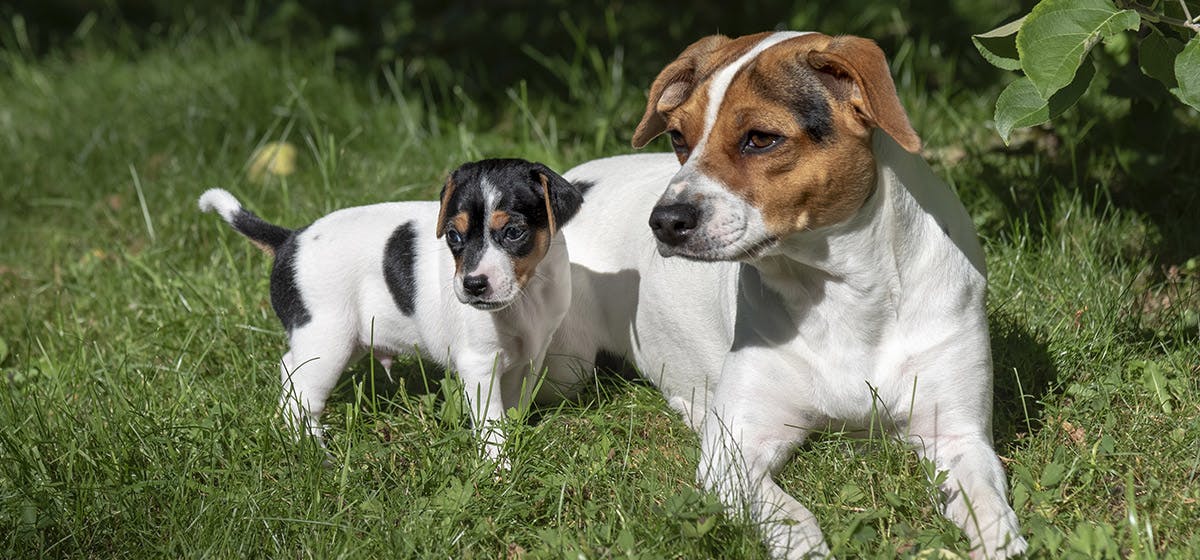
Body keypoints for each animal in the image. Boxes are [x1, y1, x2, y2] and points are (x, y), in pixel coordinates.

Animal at [198, 158, 580, 460]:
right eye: (453, 236)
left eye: (514, 232)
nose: (473, 285)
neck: (527, 293)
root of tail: (289, 240)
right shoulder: (479, 365)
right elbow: (490, 423)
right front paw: (498, 468)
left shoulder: (530, 357)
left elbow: (514, 406)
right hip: (327, 343)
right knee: (304, 395)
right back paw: (316, 455)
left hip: (342, 341)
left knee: (290, 371)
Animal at [549, 31, 1027, 560]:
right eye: (677, 137)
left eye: (761, 138)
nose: (665, 221)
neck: (845, 296)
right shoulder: (734, 453)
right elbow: (793, 519)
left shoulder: (958, 436)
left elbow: (990, 510)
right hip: (564, 367)